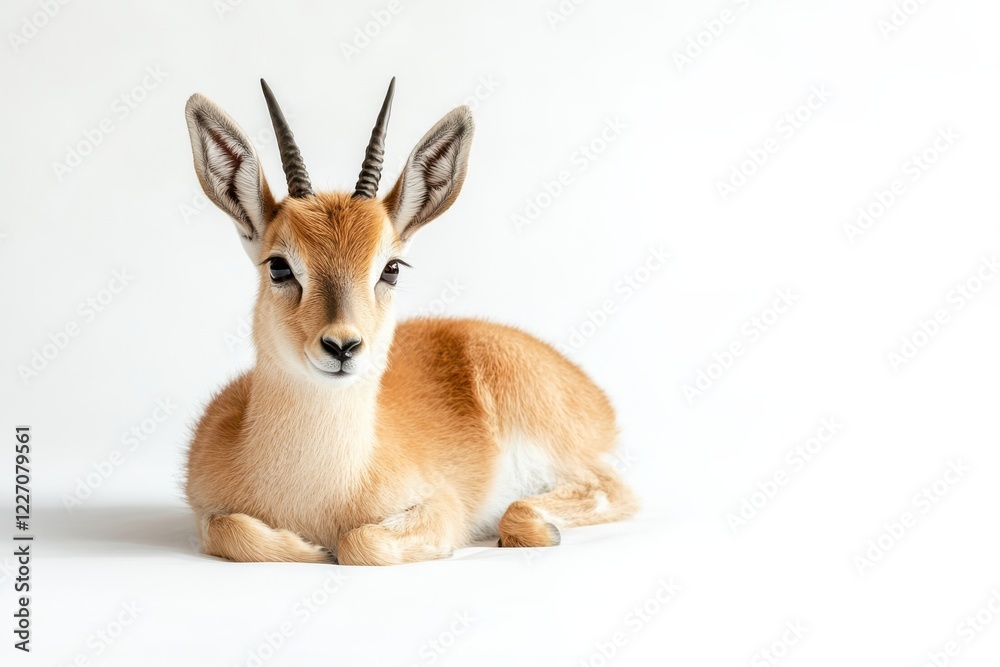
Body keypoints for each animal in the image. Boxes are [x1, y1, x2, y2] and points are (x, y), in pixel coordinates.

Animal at [183, 78, 637, 566]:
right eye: (279, 266)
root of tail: (595, 398)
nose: (342, 346)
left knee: (612, 491)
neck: (324, 494)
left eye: (392, 268)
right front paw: (307, 548)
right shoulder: (206, 510)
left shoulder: (440, 507)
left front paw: (324, 549)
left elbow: (359, 542)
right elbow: (227, 528)